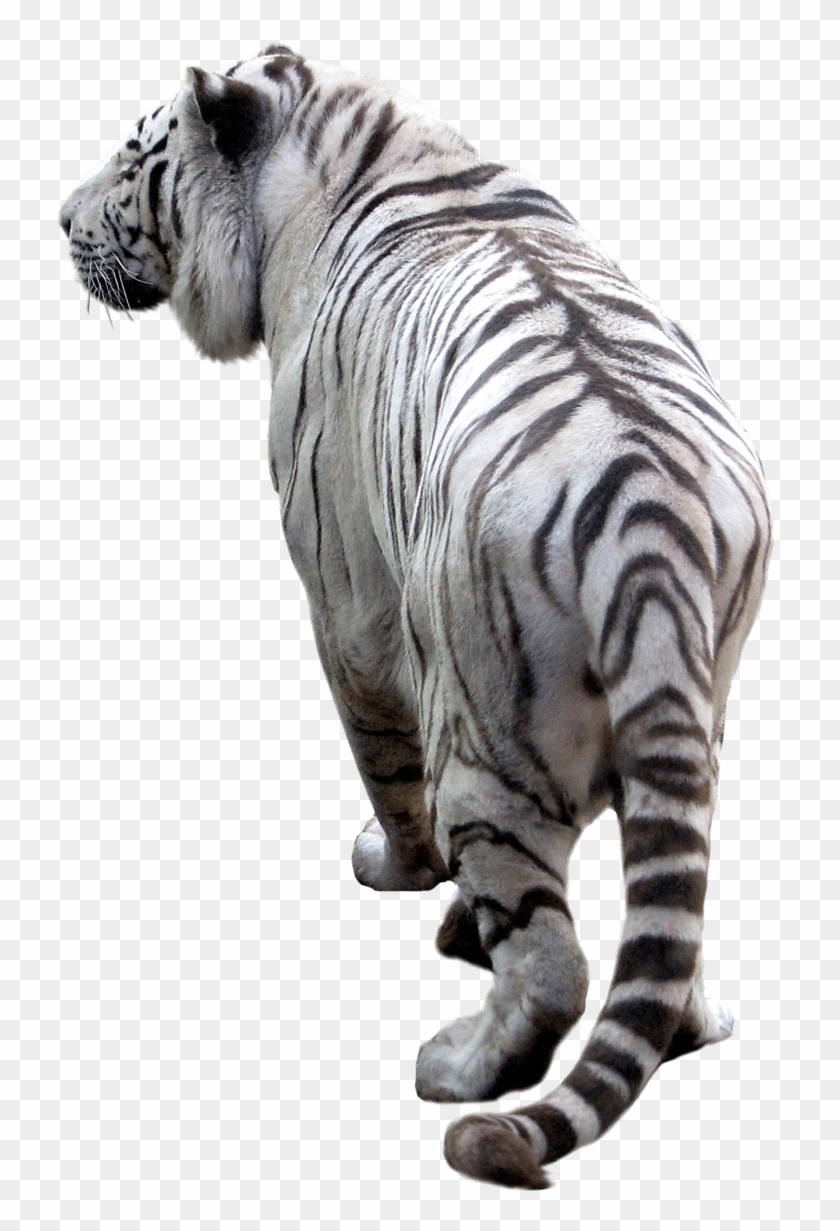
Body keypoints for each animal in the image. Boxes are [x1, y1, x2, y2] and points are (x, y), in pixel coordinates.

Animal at [59, 46, 770, 1189]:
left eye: (132, 161)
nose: (55, 219)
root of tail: (648, 521)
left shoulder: (346, 600)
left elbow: (385, 769)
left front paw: (399, 871)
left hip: (488, 738)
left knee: (554, 963)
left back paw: (461, 1066)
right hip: (699, 710)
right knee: (671, 912)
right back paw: (687, 1018)